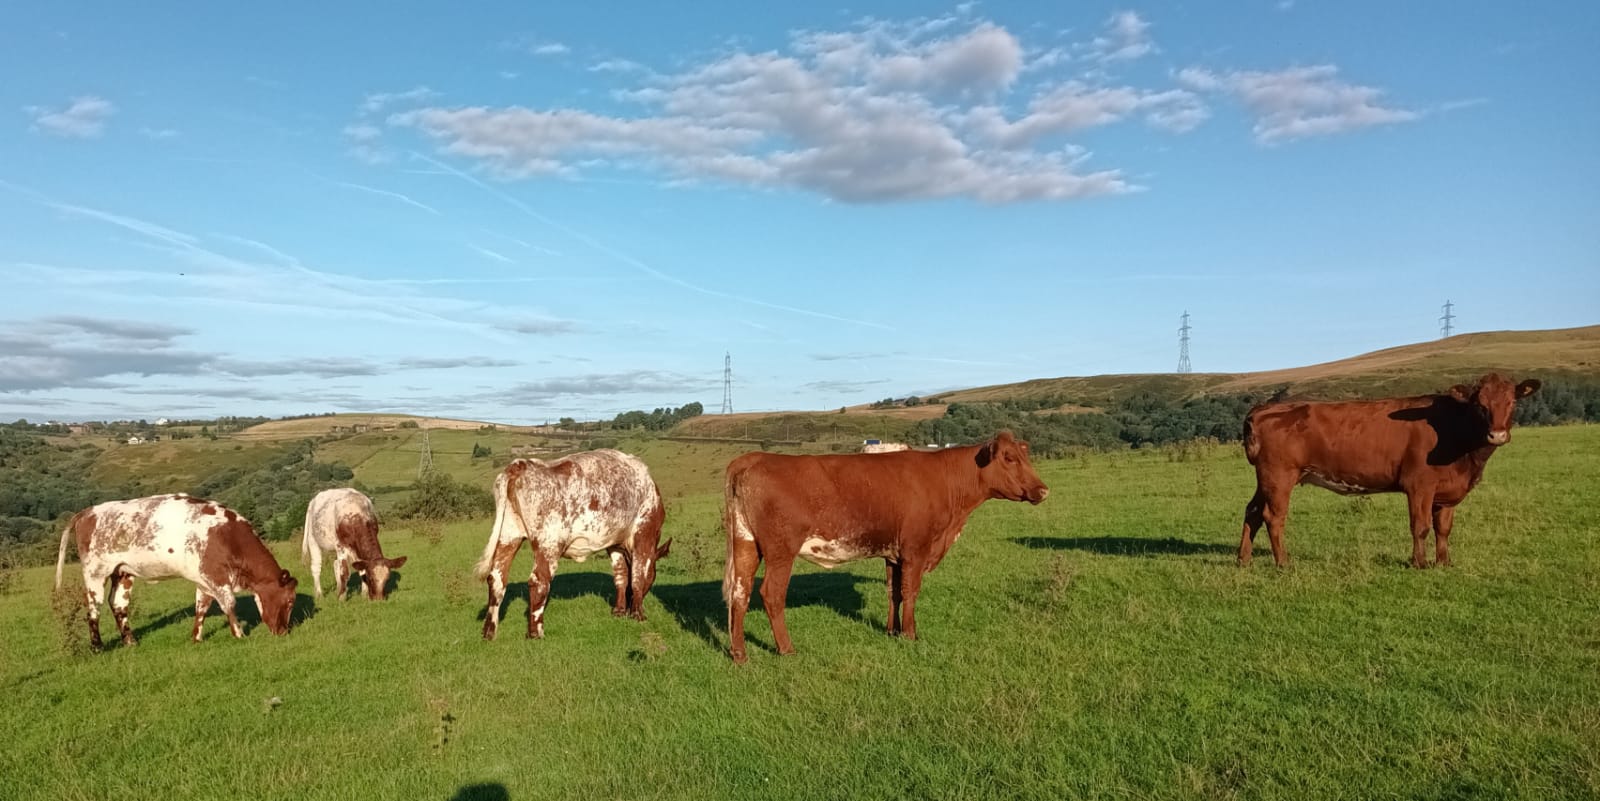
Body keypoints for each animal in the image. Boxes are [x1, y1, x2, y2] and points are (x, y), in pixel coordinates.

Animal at [52, 489, 300, 645]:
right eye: (290, 601)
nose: (283, 631)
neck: (228, 535)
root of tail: (88, 511)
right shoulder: (215, 575)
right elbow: (229, 604)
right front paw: (239, 635)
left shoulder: (204, 578)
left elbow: (202, 607)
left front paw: (196, 638)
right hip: (95, 572)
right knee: (94, 608)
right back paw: (97, 646)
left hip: (122, 572)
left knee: (118, 605)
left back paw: (130, 642)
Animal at [476, 447, 672, 639]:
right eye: (654, 576)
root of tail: (522, 464)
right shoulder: (644, 534)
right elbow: (638, 576)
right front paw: (638, 614)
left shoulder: (614, 544)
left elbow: (621, 576)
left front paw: (619, 611)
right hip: (550, 542)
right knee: (538, 581)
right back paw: (536, 633)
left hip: (508, 534)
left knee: (496, 578)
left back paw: (489, 631)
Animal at [723, 431, 1049, 661]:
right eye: (1009, 458)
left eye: (1025, 456)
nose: (1043, 490)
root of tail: (752, 458)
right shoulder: (916, 549)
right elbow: (910, 590)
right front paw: (910, 634)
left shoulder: (894, 554)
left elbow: (893, 592)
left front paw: (892, 631)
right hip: (781, 551)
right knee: (771, 595)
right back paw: (787, 649)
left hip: (746, 544)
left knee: (740, 593)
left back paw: (740, 654)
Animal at [1241, 374, 1542, 569]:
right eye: (1480, 405)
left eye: (1512, 402)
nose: (1497, 434)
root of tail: (1264, 408)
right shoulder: (1419, 485)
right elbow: (1421, 526)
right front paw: (1420, 563)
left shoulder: (1446, 492)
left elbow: (1443, 528)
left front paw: (1444, 562)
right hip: (1280, 476)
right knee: (1273, 517)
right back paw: (1283, 563)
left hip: (1265, 479)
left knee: (1253, 511)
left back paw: (1243, 559)